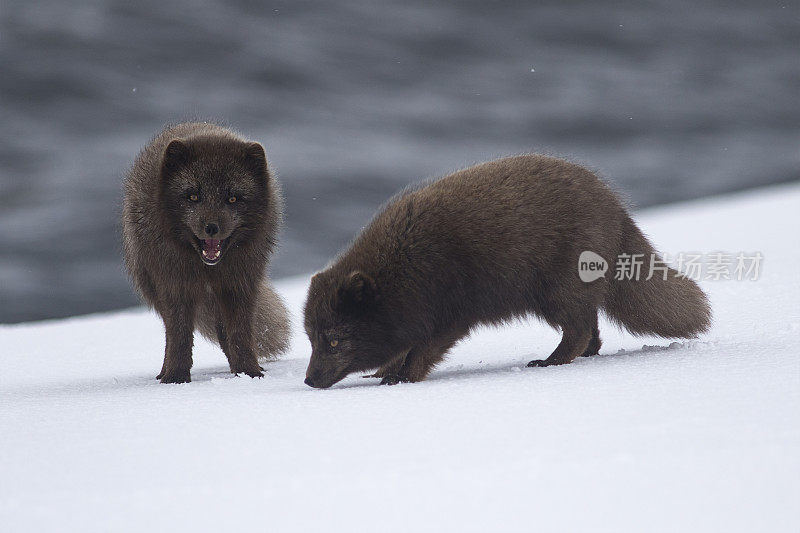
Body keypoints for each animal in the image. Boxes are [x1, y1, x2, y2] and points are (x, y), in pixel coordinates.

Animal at [122, 122, 288, 382]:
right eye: (193, 196)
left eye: (233, 198)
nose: (211, 228)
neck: (206, 268)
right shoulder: (176, 285)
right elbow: (179, 335)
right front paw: (176, 378)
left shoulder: (240, 284)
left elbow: (239, 332)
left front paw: (249, 373)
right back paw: (163, 373)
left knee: (224, 332)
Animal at [304, 154, 708, 386]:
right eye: (311, 338)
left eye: (334, 340)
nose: (309, 380)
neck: (401, 269)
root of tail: (618, 209)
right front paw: (385, 371)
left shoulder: (449, 317)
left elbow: (420, 352)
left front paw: (400, 378)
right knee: (591, 333)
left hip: (556, 290)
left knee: (579, 331)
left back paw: (549, 362)